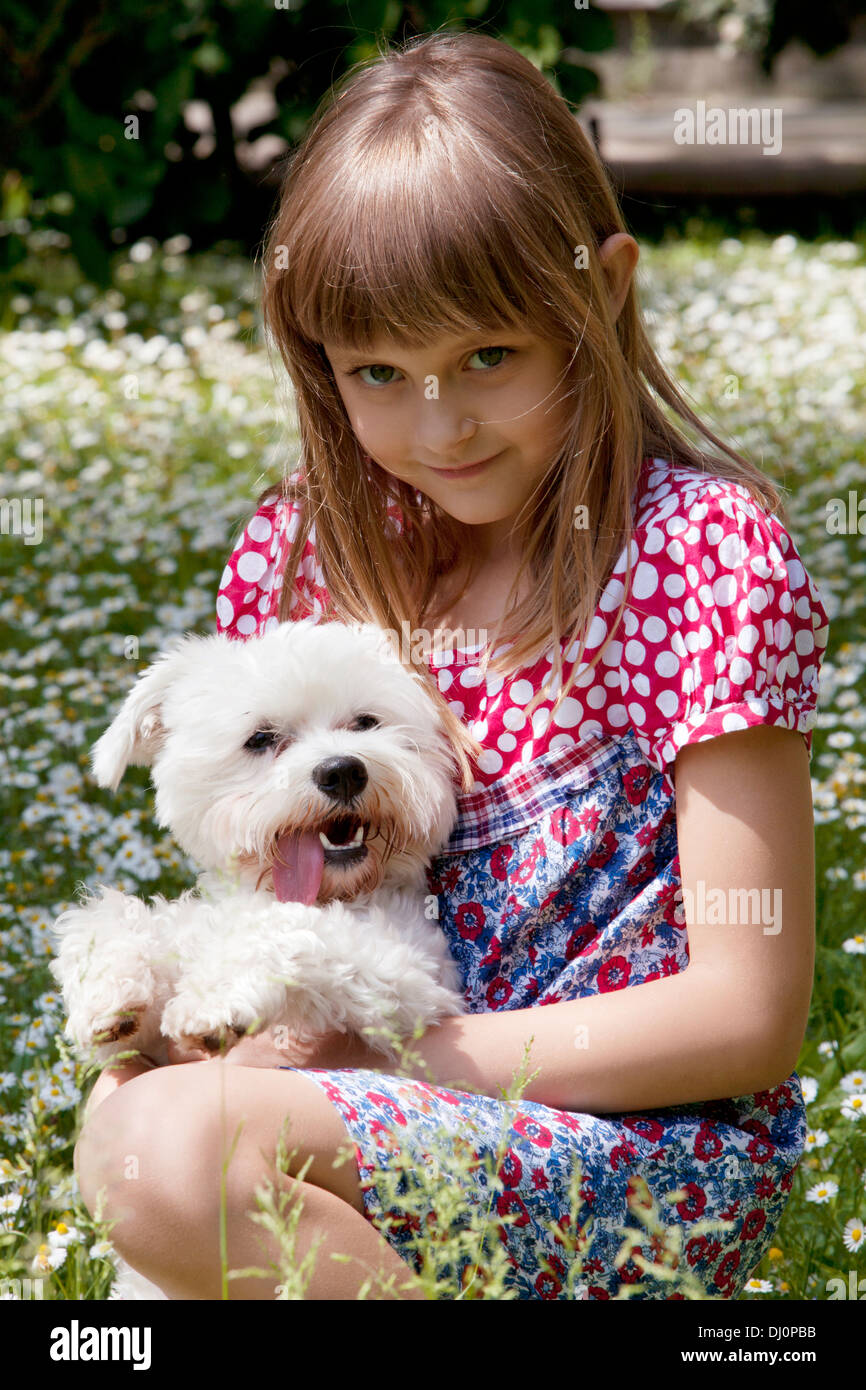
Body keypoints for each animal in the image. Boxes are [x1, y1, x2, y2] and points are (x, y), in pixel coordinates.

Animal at [53, 619, 467, 1073]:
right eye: (260, 738)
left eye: (366, 722)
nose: (342, 771)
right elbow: (107, 922)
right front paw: (111, 989)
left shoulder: (414, 972)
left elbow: (289, 930)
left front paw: (215, 996)